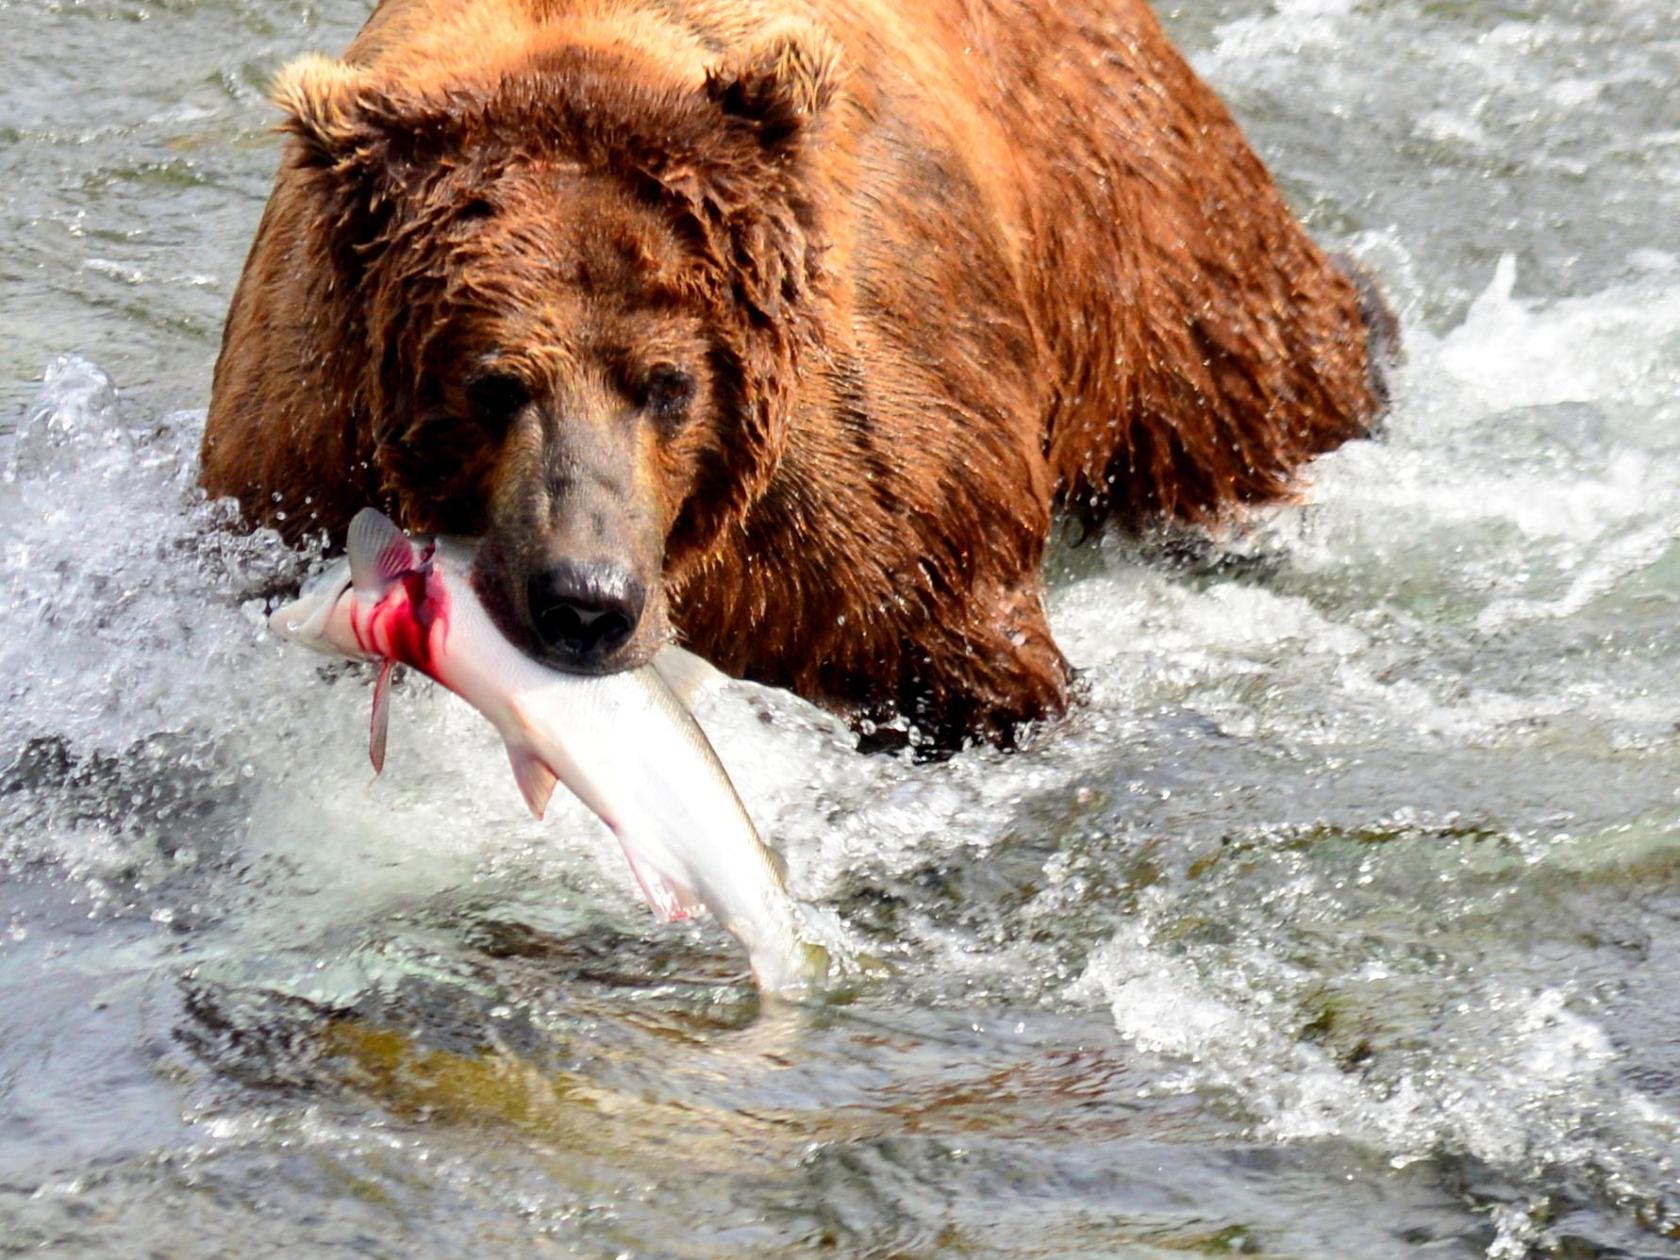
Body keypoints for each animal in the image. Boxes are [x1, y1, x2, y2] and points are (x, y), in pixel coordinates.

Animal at [200, 0, 1392, 751]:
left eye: (669, 383)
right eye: (491, 383)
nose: (586, 600)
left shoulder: (873, 515)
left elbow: (965, 668)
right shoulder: (297, 455)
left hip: (1148, 230)